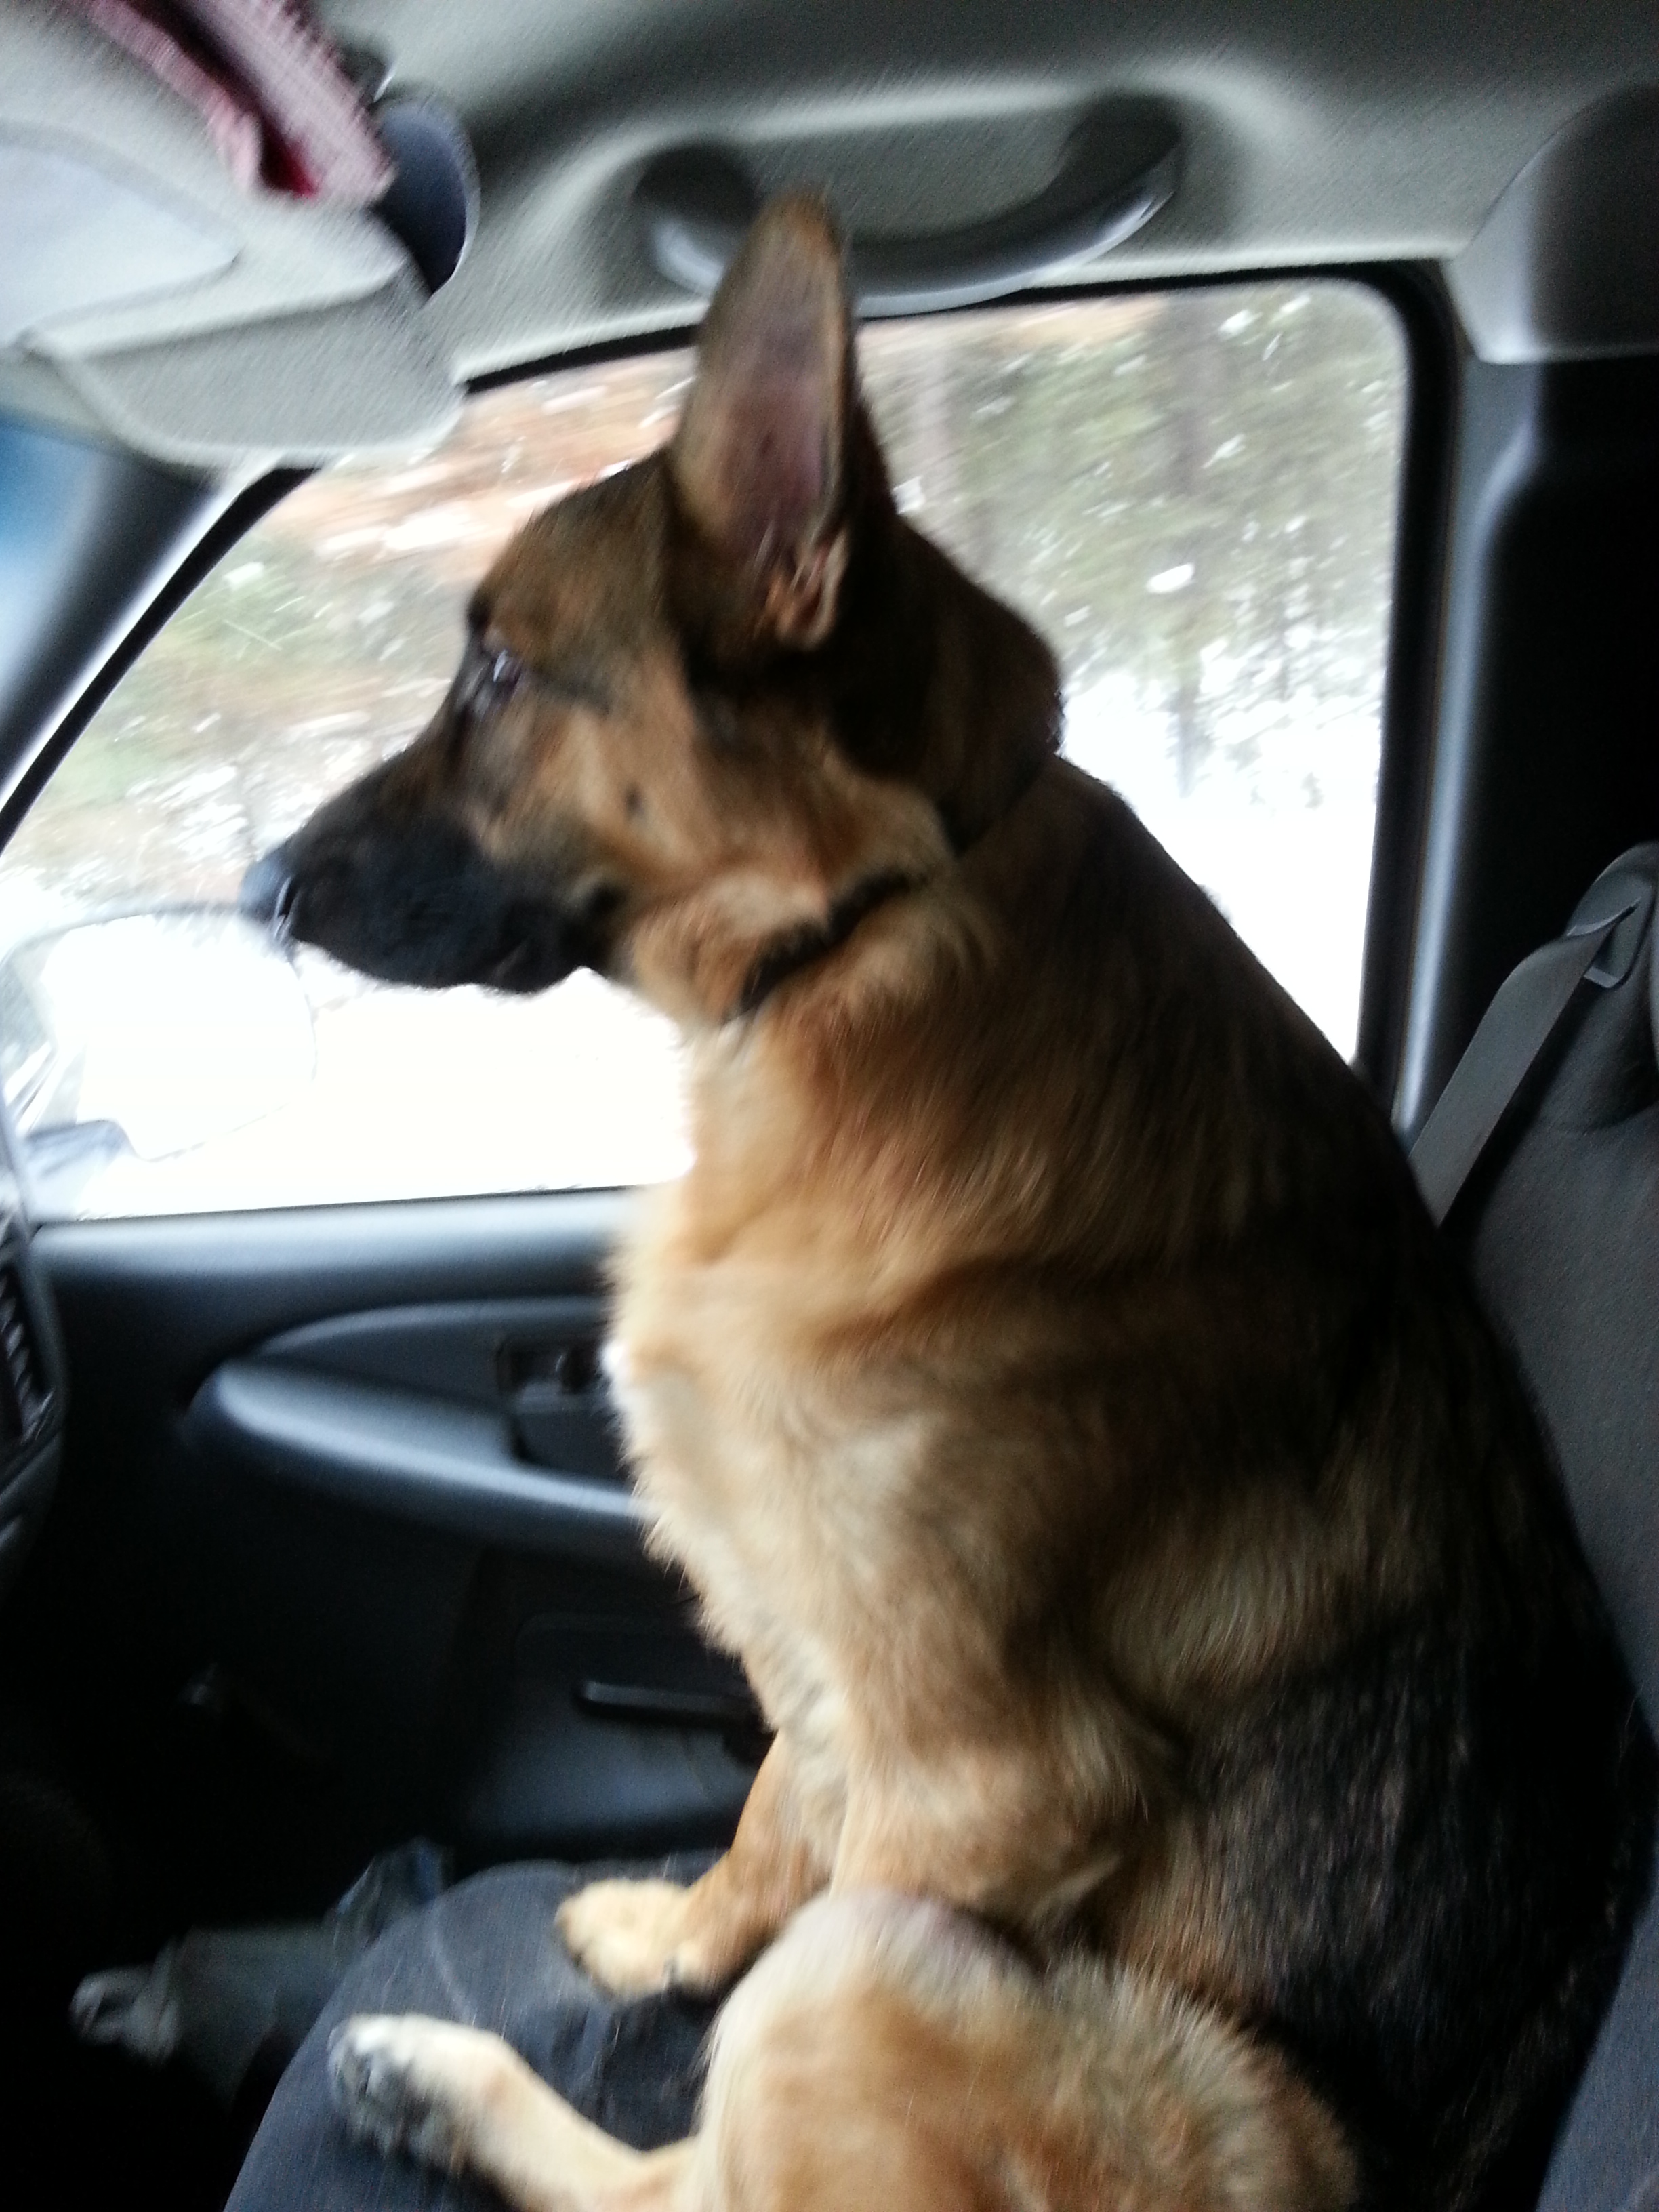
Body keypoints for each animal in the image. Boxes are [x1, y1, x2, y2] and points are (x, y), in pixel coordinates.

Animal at [244, 196, 1655, 2212]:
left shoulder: (979, 1779)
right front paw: (676, 1931)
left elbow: (756, 1990)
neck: (862, 933)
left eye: (501, 675)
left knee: (697, 2175)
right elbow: (771, 1799)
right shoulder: (830, 1670)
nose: (262, 887)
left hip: (883, 1968)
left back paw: (449, 2085)